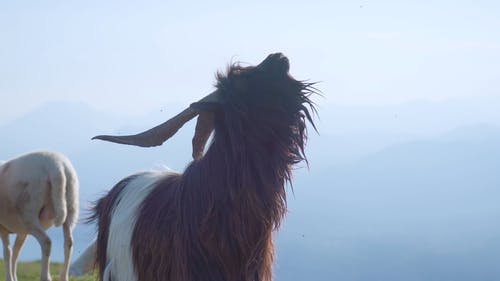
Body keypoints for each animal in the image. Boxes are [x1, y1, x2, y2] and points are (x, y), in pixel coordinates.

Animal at [0, 151, 78, 280]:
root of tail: (57, 166)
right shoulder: (22, 231)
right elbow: (16, 251)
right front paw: (14, 277)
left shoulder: (4, 228)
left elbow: (8, 252)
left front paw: (9, 278)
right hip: (71, 204)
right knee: (69, 242)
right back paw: (63, 277)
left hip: (29, 211)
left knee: (46, 242)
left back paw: (45, 277)